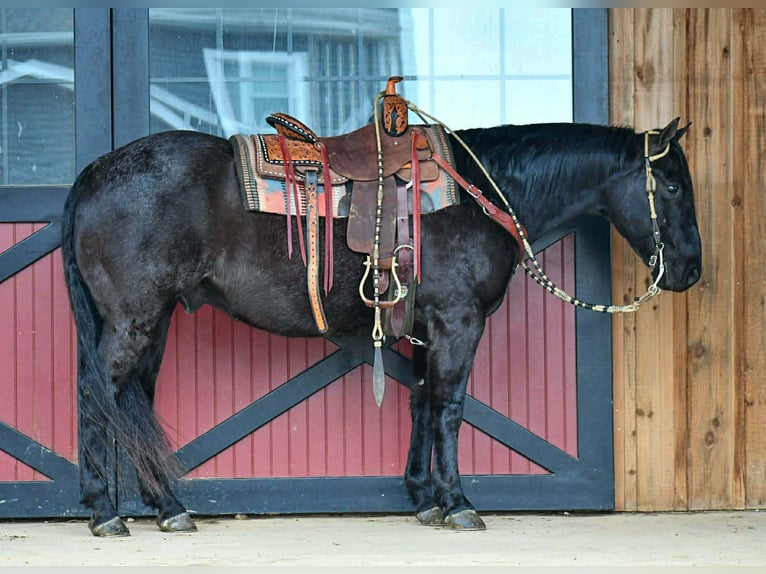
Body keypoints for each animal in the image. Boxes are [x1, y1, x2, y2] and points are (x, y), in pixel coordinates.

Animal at [61, 116, 702, 537]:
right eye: (671, 185)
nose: (691, 270)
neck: (478, 193)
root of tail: (93, 173)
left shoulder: (428, 328)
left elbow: (422, 403)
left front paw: (423, 498)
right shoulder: (458, 323)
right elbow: (449, 410)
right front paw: (459, 503)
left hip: (154, 321)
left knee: (132, 403)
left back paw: (168, 508)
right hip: (133, 319)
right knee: (95, 396)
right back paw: (104, 512)